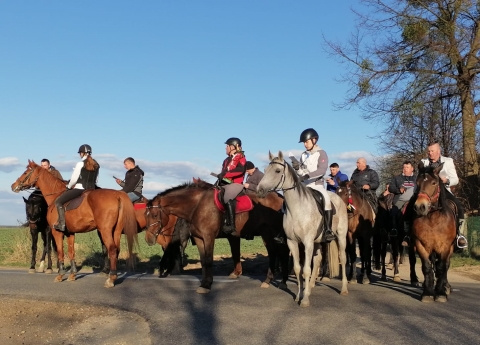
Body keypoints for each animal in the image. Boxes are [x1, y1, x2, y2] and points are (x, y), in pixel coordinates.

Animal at [144, 180, 288, 292]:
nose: (148, 239)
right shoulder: (199, 238)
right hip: (265, 232)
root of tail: (280, 197)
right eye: (145, 215)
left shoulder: (209, 237)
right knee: (272, 252)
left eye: (155, 215)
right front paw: (204, 282)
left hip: (277, 232)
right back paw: (268, 280)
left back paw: (283, 282)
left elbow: (208, 260)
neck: (197, 205)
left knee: (283, 253)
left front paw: (207, 285)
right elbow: (203, 261)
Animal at [256, 150, 346, 306]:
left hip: (340, 236)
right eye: (265, 170)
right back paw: (310, 287)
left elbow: (306, 270)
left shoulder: (307, 243)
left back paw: (344, 289)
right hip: (318, 241)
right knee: (317, 260)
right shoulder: (292, 242)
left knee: (343, 258)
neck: (297, 208)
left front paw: (304, 300)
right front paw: (299, 295)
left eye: (277, 171)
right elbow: (298, 269)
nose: (259, 190)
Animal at [410, 161, 456, 300]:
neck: (433, 219)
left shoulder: (445, 246)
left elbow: (441, 267)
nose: (420, 207)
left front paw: (440, 293)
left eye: (434, 183)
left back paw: (446, 287)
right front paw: (428, 292)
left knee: (446, 265)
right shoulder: (420, 244)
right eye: (417, 182)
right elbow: (426, 267)